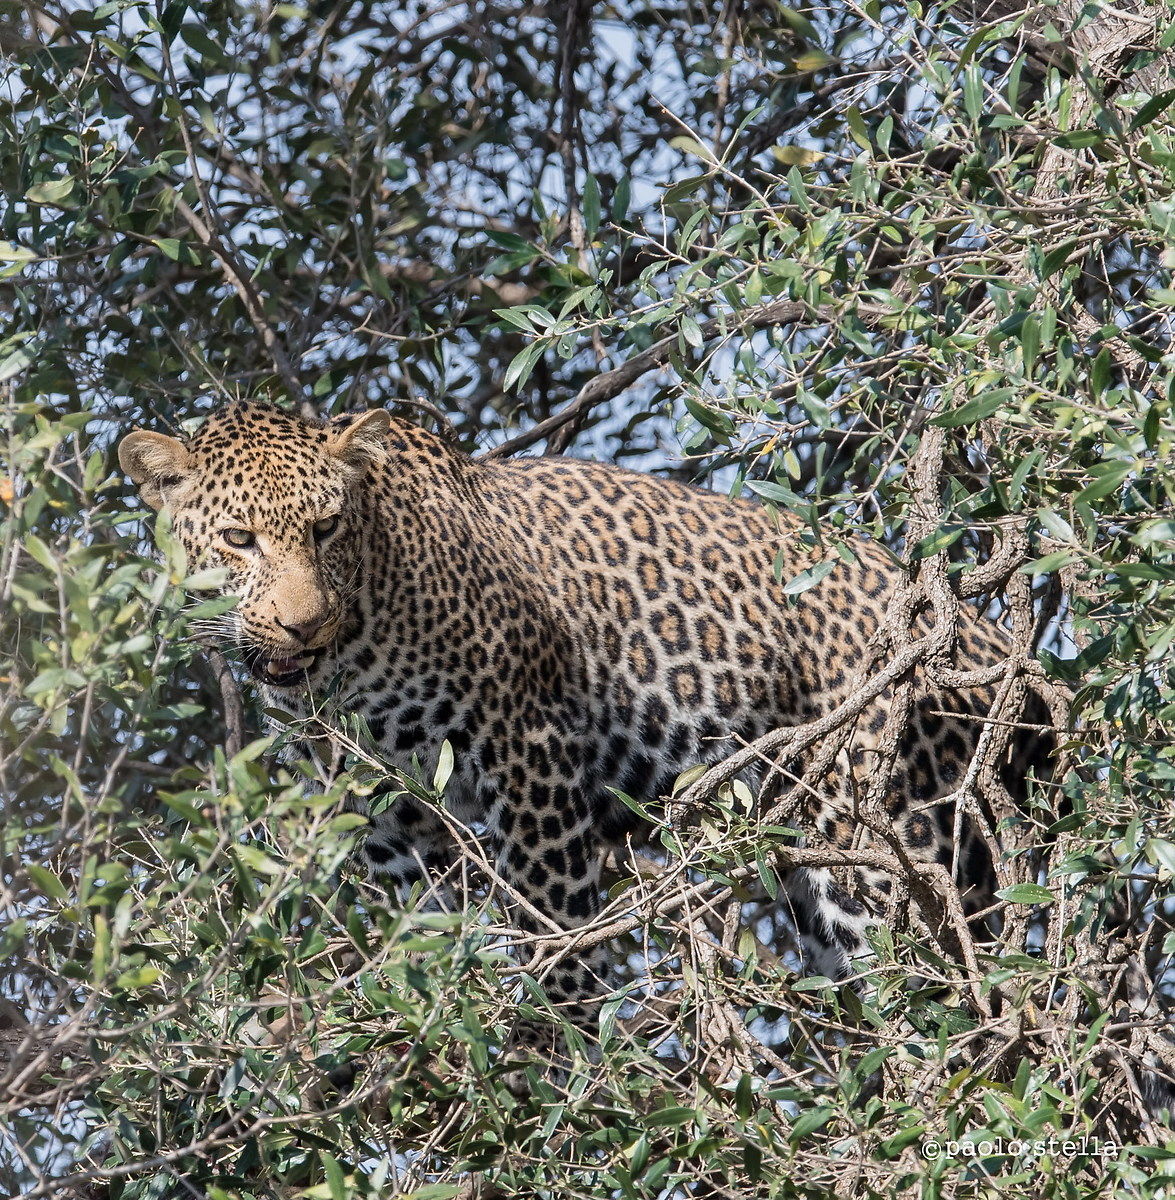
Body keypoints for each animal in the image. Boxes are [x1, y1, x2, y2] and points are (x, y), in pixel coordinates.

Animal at [119, 399, 1053, 1044]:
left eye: (325, 527)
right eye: (239, 539)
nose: (302, 624)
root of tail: (981, 633)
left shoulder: (525, 751)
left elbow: (555, 933)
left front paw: (558, 1060)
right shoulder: (392, 819)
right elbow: (429, 937)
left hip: (884, 830)